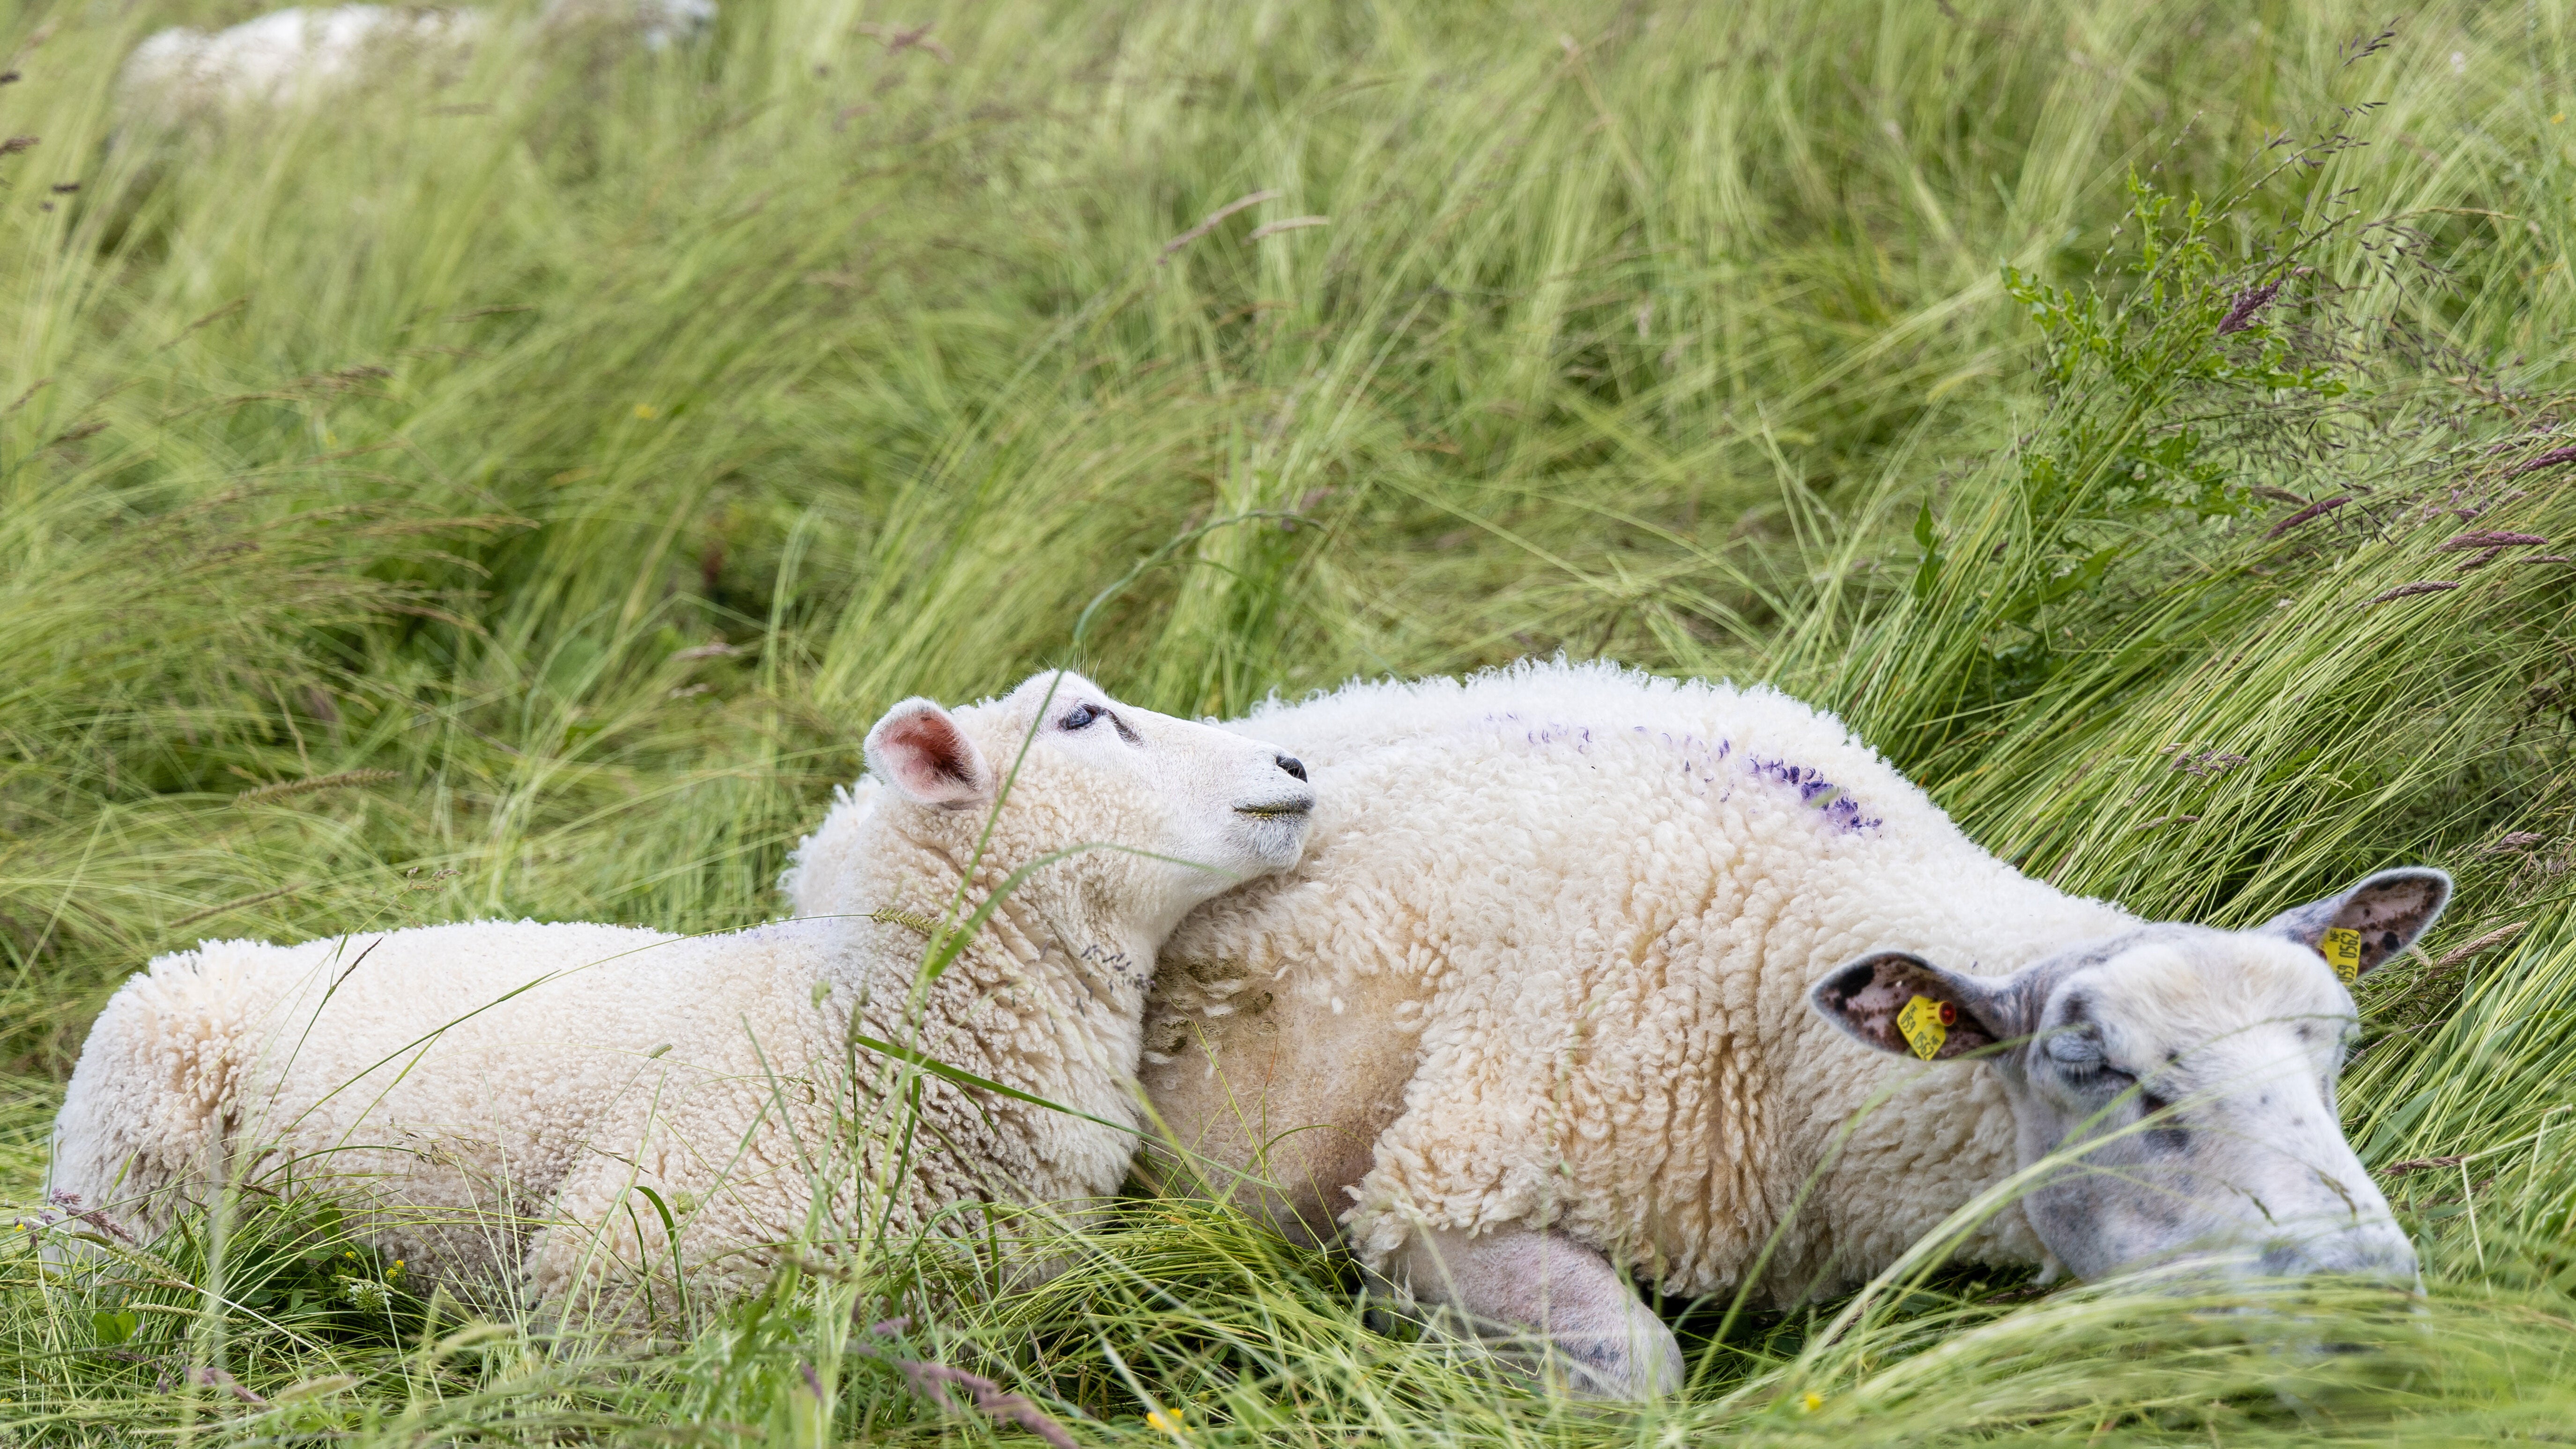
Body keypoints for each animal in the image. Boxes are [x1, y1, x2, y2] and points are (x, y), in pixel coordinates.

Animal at [48, 671, 1316, 1316]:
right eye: (1084, 718)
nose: (1297, 766)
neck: (859, 1032)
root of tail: (234, 953)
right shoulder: (627, 1264)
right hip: (127, 1181)